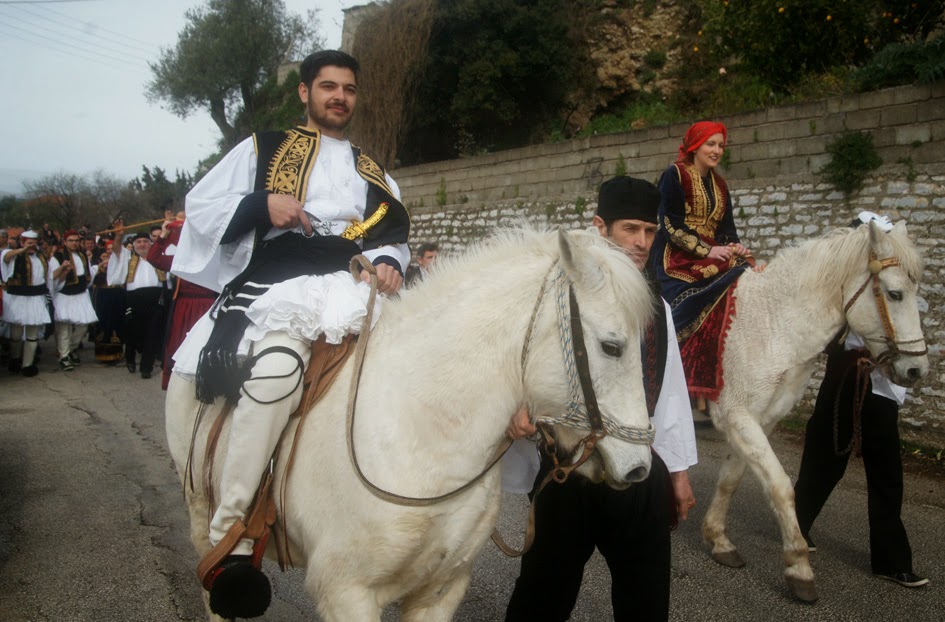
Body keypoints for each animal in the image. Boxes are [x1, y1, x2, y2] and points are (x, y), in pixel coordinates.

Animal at [164, 230, 656, 622]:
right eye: (612, 346)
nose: (639, 468)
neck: (426, 431)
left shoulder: (440, 591)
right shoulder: (347, 594)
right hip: (200, 509)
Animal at [704, 221, 924, 604]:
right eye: (895, 294)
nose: (916, 370)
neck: (773, 324)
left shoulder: (758, 420)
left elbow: (731, 479)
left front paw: (719, 540)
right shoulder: (736, 416)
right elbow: (781, 487)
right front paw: (799, 567)